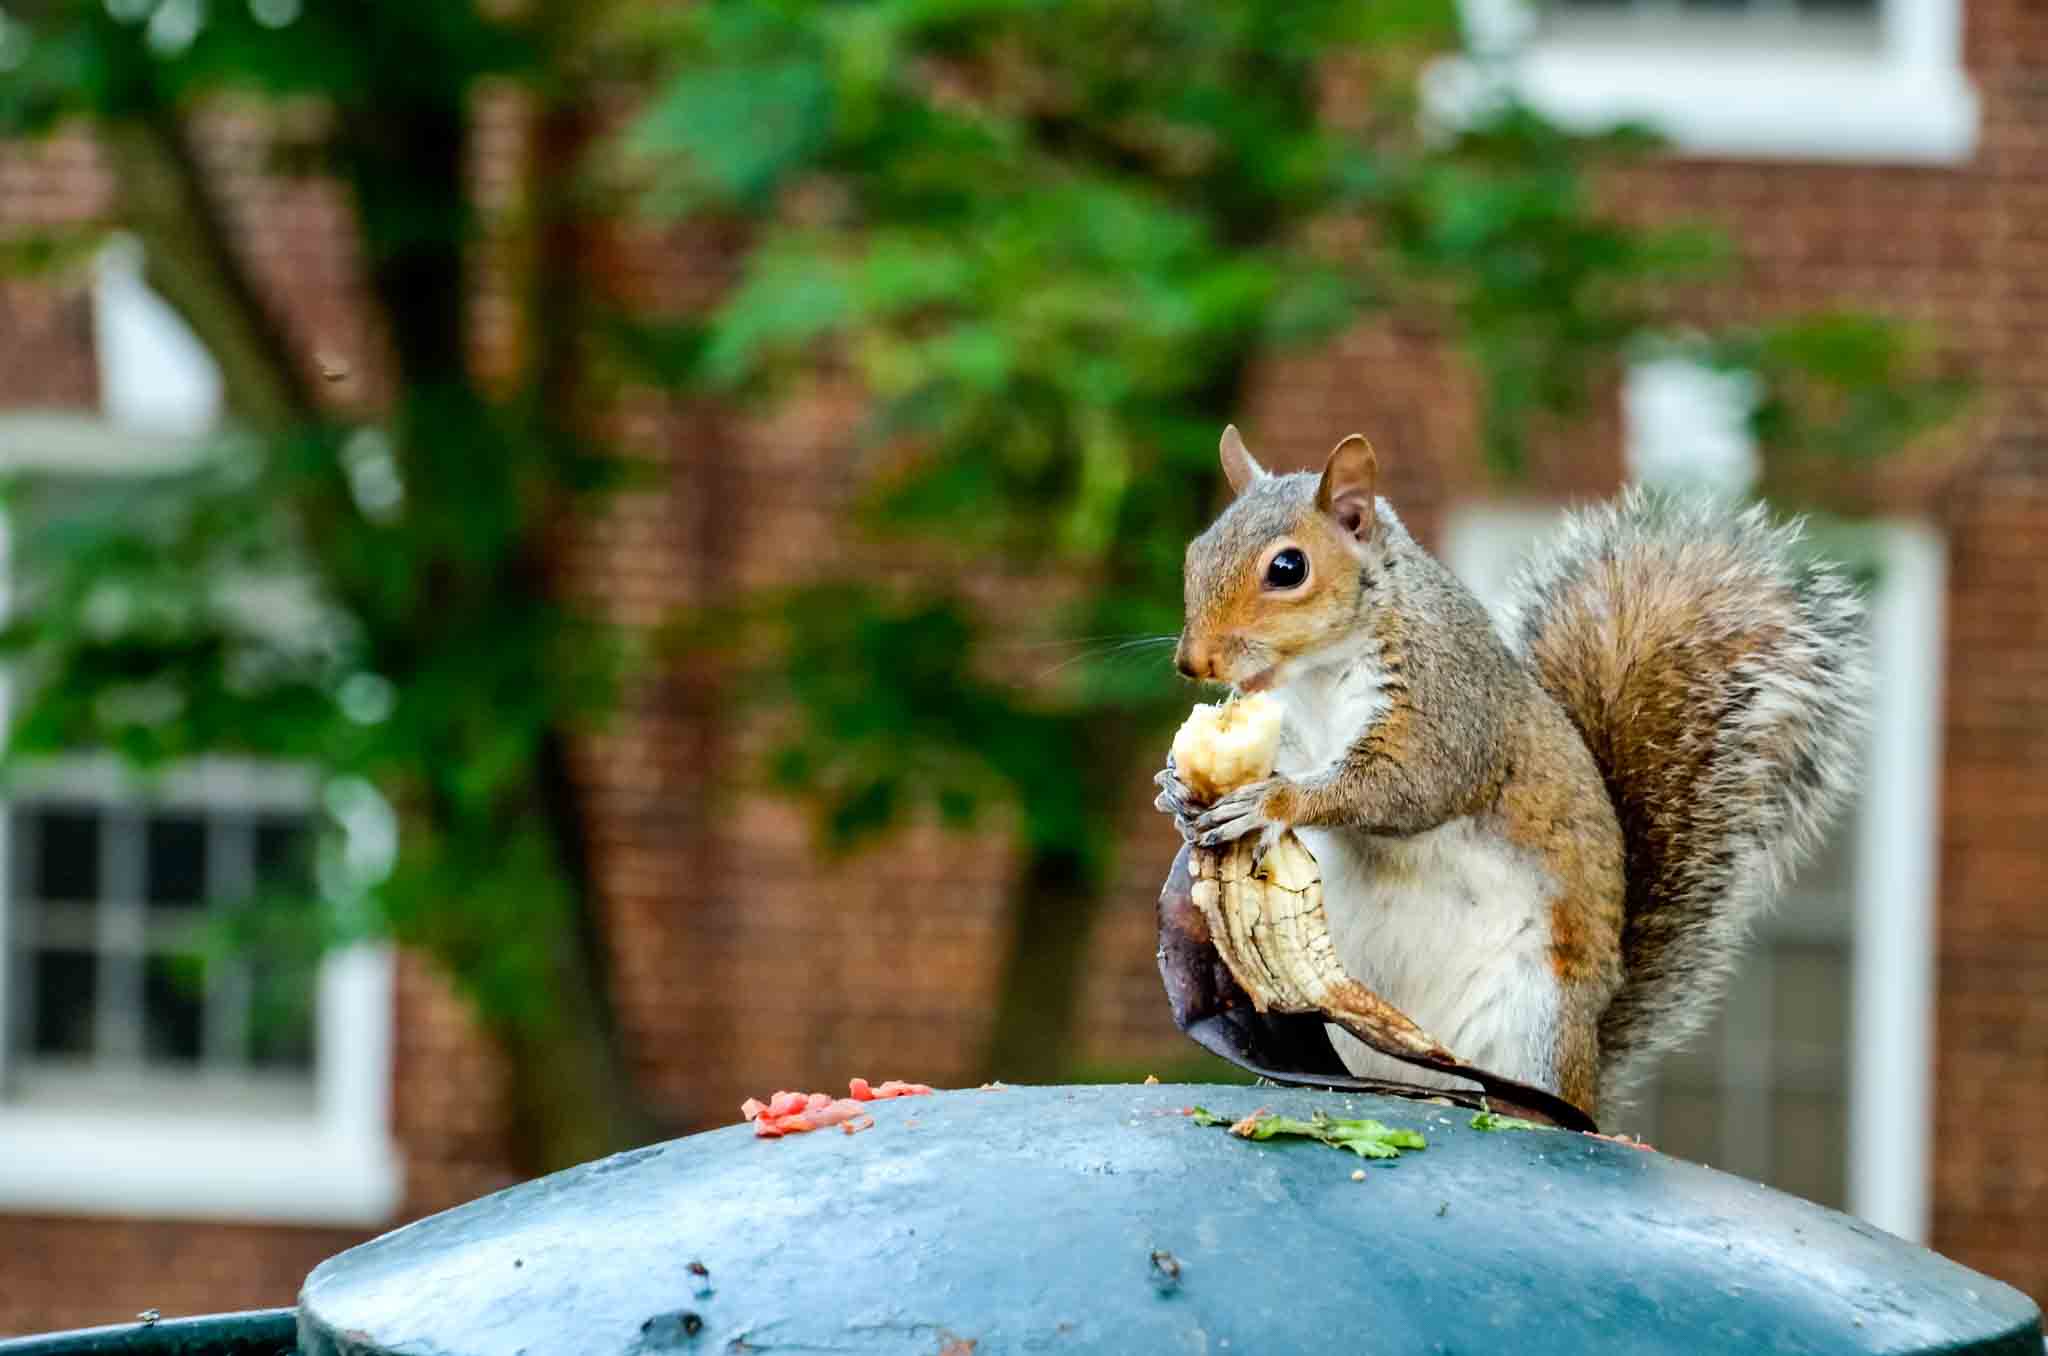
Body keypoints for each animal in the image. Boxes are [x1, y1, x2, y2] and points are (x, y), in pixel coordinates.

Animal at [1155, 430, 1875, 1122]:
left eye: (1288, 568)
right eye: (1194, 552)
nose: (1193, 662)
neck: (1317, 679)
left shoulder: (1447, 704)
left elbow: (1403, 786)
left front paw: (1271, 802)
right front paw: (1176, 786)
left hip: (1533, 1022)